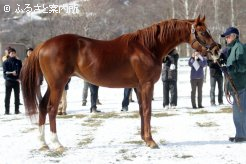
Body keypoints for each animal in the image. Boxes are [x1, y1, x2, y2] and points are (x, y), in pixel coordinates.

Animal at [20, 16, 220, 151]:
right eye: (203, 32)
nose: (217, 49)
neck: (148, 47)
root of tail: (43, 45)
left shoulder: (138, 87)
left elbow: (141, 110)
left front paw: (144, 138)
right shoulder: (147, 84)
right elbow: (147, 111)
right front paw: (151, 141)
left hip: (52, 85)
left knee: (43, 106)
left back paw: (43, 144)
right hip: (58, 84)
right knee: (52, 109)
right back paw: (57, 143)